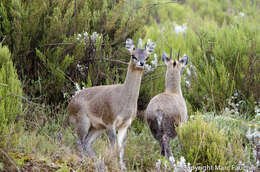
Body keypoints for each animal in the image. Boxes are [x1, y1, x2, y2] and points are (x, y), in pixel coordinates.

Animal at [68, 38, 155, 169]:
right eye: (133, 55)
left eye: (147, 57)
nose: (141, 63)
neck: (123, 99)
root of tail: (70, 104)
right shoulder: (110, 123)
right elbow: (114, 147)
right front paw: (114, 165)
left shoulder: (124, 125)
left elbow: (121, 148)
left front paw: (122, 167)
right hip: (83, 123)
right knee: (79, 141)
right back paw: (84, 161)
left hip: (97, 127)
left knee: (87, 142)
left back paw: (97, 163)